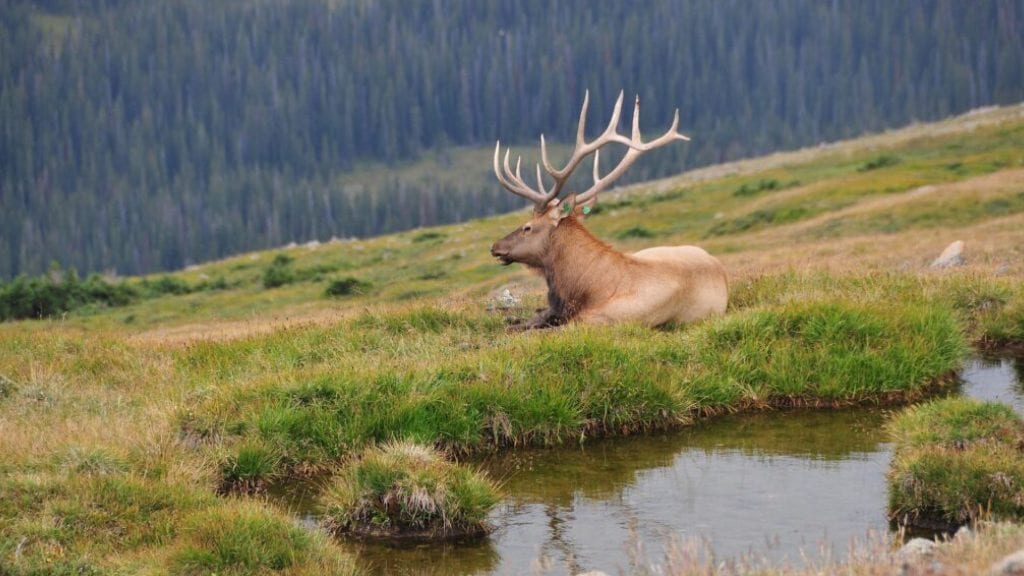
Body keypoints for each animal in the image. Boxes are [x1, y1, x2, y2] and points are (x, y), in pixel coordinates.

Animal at [489, 91, 728, 329]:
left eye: (527, 227)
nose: (495, 247)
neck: (584, 287)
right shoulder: (556, 311)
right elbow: (523, 322)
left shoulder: (593, 321)